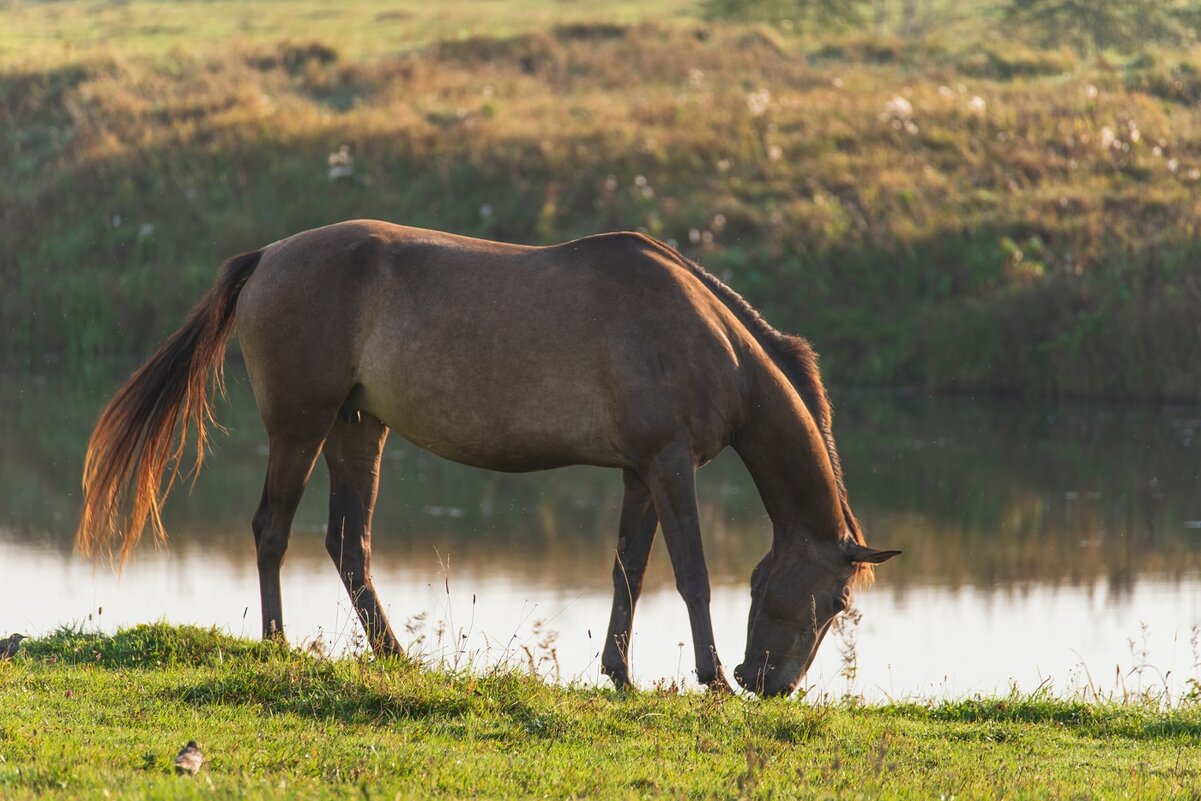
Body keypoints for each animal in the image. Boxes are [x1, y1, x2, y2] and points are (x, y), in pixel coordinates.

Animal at [75, 219, 898, 696]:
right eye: (836, 602)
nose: (766, 682)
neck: (706, 337)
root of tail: (269, 255)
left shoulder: (639, 471)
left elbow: (628, 571)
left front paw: (620, 674)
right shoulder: (670, 465)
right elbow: (690, 574)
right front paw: (709, 679)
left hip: (356, 429)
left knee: (347, 543)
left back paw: (394, 656)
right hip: (299, 428)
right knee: (272, 530)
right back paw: (277, 645)